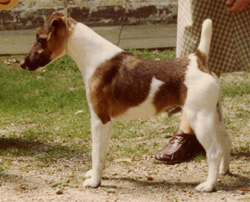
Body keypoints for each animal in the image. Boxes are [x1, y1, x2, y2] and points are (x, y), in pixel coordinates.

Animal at [20, 11, 231, 193]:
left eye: (40, 38)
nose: (23, 64)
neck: (94, 58)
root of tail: (198, 59)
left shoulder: (100, 120)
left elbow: (96, 153)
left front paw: (95, 182)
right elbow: (101, 154)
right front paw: (95, 175)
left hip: (199, 119)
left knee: (214, 152)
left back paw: (209, 185)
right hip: (214, 116)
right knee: (226, 141)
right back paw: (224, 171)